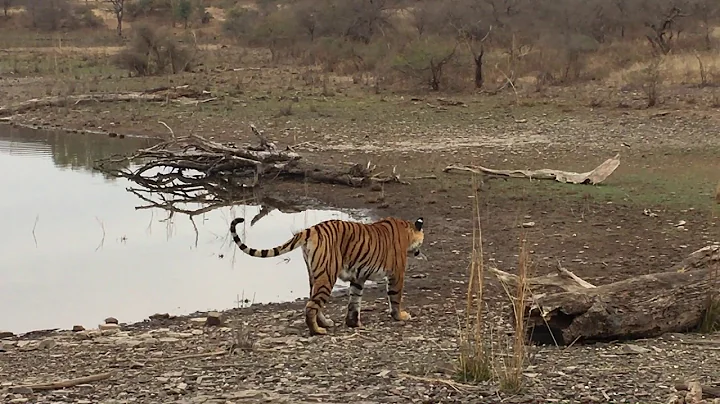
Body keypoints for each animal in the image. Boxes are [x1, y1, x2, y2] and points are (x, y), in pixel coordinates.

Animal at [228, 216, 424, 336]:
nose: (419, 252)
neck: (406, 229)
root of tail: (311, 229)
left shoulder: (358, 278)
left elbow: (355, 300)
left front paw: (353, 322)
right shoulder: (397, 274)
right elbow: (395, 298)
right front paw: (400, 316)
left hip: (315, 275)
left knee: (313, 301)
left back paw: (324, 324)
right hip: (327, 275)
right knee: (310, 306)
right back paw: (317, 331)